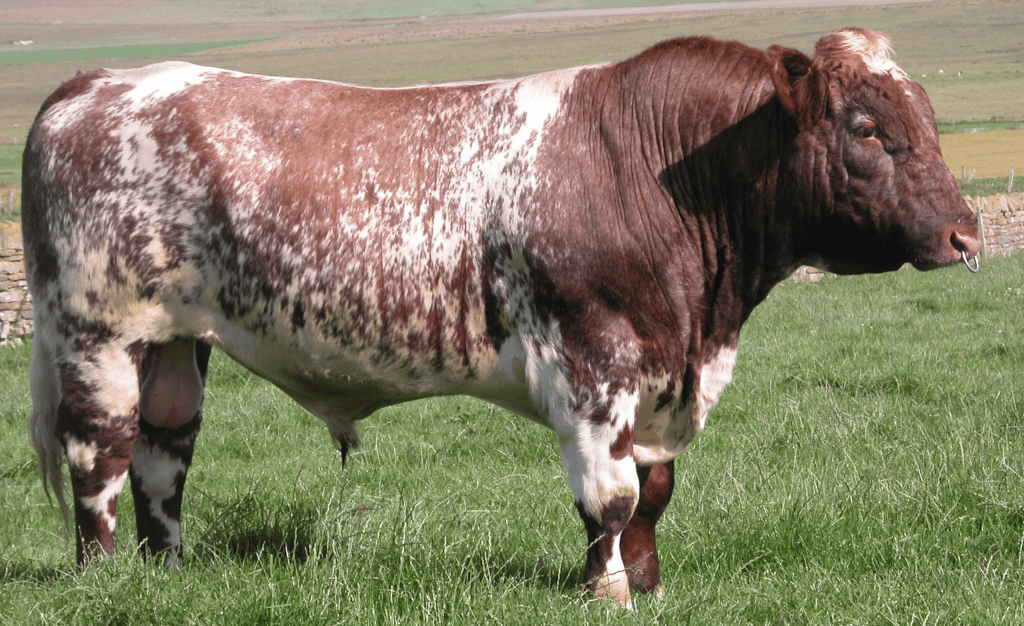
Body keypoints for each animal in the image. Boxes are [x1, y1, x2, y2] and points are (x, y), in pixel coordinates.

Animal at [23, 28, 979, 608]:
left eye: (928, 118)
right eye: (865, 126)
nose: (965, 232)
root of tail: (96, 81)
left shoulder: (664, 372)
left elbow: (655, 493)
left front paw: (650, 587)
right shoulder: (593, 361)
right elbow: (612, 495)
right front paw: (607, 592)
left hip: (175, 340)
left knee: (164, 454)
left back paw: (168, 571)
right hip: (96, 332)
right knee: (100, 453)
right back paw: (103, 580)